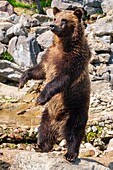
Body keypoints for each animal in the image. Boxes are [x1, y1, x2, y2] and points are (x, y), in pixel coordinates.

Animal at [18, 7, 91, 162]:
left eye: (64, 20)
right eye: (54, 18)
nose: (52, 25)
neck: (63, 44)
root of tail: (58, 123)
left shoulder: (73, 61)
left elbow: (60, 79)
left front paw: (40, 98)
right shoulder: (49, 56)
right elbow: (39, 70)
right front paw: (22, 80)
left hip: (75, 108)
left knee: (74, 131)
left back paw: (71, 154)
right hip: (48, 114)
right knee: (44, 129)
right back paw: (41, 146)